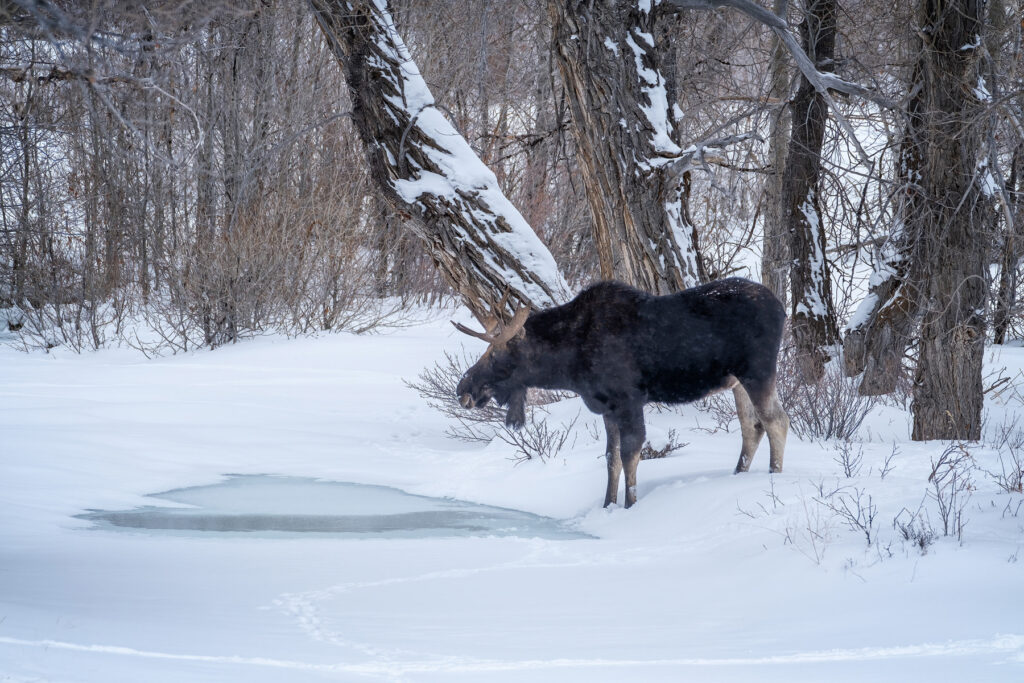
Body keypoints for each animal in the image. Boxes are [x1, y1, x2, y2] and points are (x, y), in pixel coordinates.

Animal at [456, 278, 790, 507]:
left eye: (495, 354)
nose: (463, 388)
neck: (568, 364)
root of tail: (782, 309)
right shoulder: (607, 407)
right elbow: (611, 458)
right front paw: (607, 505)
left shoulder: (629, 401)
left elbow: (630, 454)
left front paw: (630, 506)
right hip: (736, 381)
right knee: (752, 426)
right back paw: (738, 475)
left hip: (758, 371)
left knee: (776, 420)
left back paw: (774, 476)